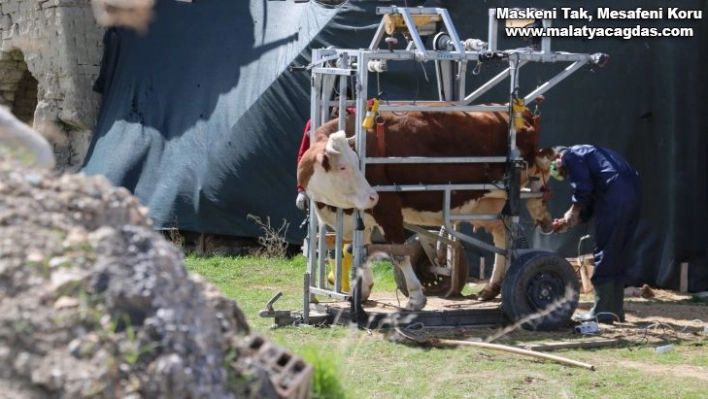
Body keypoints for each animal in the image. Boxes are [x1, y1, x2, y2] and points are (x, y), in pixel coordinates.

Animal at [296, 107, 556, 312]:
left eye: (358, 163)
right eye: (343, 166)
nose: (372, 196)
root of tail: (524, 113)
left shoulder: (388, 208)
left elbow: (399, 254)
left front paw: (416, 298)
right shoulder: (358, 216)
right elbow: (359, 251)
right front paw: (362, 292)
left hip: (513, 185)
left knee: (536, 187)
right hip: (489, 201)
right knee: (501, 233)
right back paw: (491, 288)